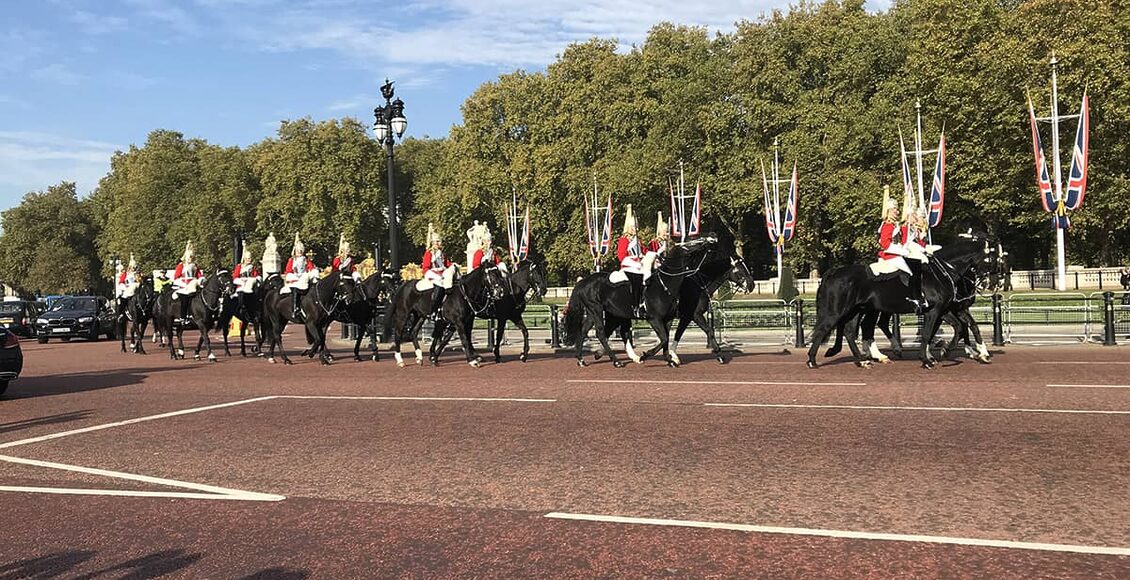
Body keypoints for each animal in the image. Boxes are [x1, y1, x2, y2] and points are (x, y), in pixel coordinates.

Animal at [565, 235, 723, 366]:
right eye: (688, 243)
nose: (712, 238)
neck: (664, 284)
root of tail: (583, 282)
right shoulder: (655, 318)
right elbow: (664, 338)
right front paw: (647, 355)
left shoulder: (668, 318)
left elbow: (666, 338)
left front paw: (669, 359)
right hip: (597, 310)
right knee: (602, 333)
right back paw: (616, 361)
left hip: (596, 313)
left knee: (584, 331)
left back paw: (582, 359)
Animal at [804, 234, 989, 366]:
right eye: (992, 256)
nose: (988, 284)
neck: (942, 272)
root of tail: (834, 272)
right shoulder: (936, 310)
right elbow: (931, 332)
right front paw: (929, 358)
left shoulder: (946, 309)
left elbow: (963, 326)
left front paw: (975, 352)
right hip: (839, 311)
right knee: (825, 328)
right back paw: (813, 360)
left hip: (858, 310)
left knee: (852, 330)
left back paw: (865, 359)